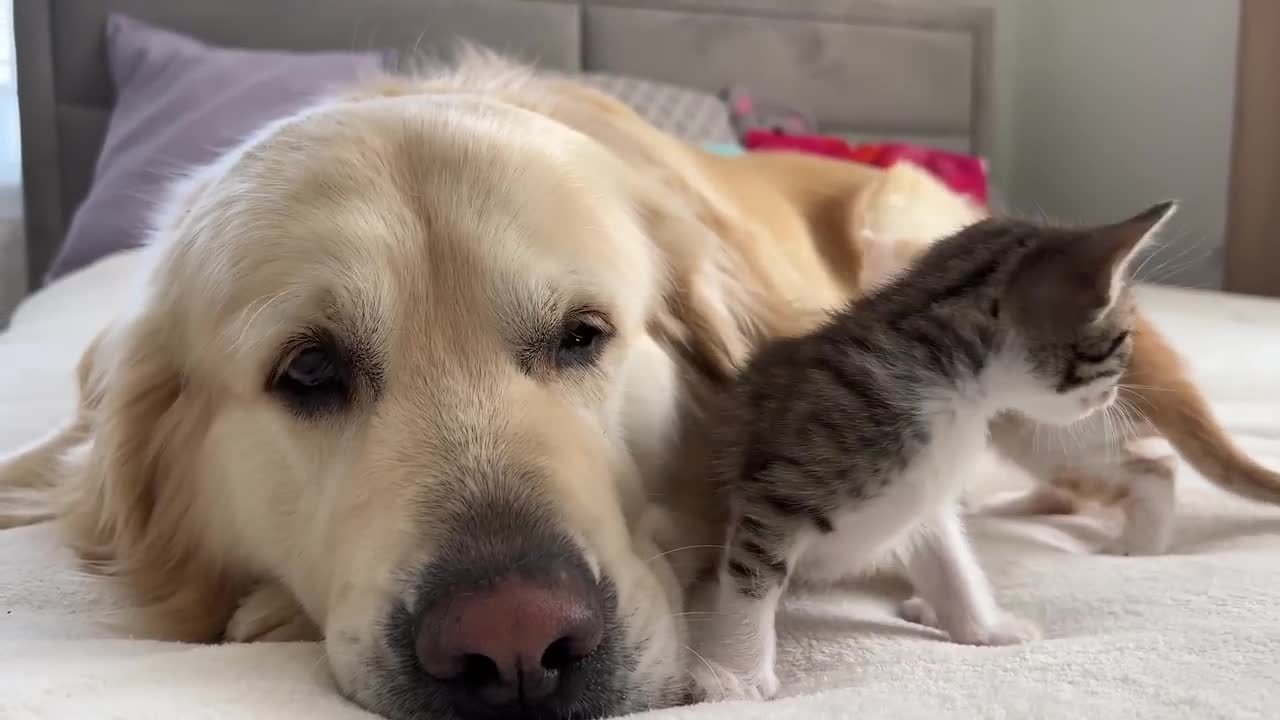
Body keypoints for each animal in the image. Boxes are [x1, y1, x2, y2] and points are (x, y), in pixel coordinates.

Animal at [686, 198, 1172, 696]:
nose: (1114, 397)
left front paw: (984, 627)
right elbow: (751, 578)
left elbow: (950, 560)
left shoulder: (926, 494)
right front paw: (738, 674)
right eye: (1121, 341)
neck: (952, 395)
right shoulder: (778, 486)